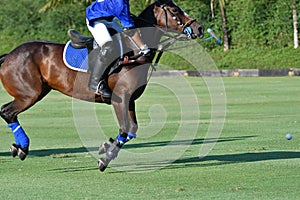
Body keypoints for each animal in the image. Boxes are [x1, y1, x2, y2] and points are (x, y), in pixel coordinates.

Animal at [0, 0, 204, 172]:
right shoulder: (119, 99)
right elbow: (125, 128)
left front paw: (106, 147)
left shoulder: (129, 100)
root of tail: (9, 55)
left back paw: (19, 147)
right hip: (29, 94)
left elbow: (132, 130)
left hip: (38, 91)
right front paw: (105, 158)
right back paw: (23, 147)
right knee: (7, 112)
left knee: (7, 112)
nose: (199, 28)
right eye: (175, 10)